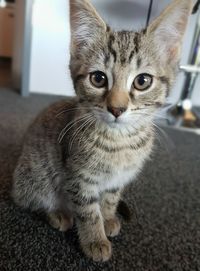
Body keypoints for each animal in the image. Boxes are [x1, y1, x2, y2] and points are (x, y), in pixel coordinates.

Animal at [12, 0, 192, 264]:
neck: (121, 142)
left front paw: (107, 219)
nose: (117, 108)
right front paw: (95, 240)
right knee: (31, 200)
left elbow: (110, 199)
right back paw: (57, 213)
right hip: (36, 175)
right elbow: (88, 211)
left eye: (142, 81)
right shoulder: (78, 177)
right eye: (98, 78)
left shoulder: (118, 180)